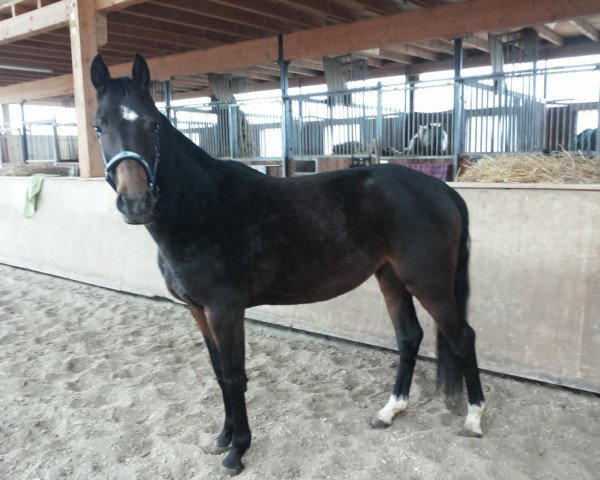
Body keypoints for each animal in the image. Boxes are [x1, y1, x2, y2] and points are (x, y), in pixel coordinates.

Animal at [89, 54, 486, 474]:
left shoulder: (224, 310)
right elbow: (218, 372)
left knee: (463, 337)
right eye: (99, 127)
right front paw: (223, 437)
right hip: (391, 276)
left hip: (429, 282)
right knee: (409, 336)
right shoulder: (198, 311)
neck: (202, 208)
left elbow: (234, 376)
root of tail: (442, 189)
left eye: (152, 125)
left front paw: (238, 450)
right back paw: (389, 411)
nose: (136, 203)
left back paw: (474, 419)